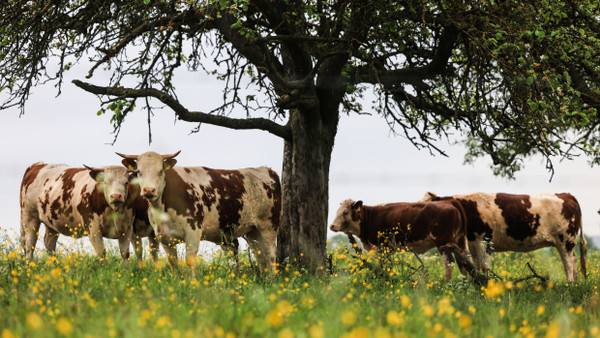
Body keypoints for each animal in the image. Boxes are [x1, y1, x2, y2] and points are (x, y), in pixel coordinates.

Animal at [20, 162, 158, 262]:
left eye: (126, 182)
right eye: (106, 182)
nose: (116, 196)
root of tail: (38, 165)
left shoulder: (127, 229)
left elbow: (125, 253)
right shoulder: (93, 227)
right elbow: (101, 252)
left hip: (51, 222)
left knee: (49, 244)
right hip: (29, 216)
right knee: (29, 244)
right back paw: (30, 267)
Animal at [116, 151, 282, 274]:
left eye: (160, 170)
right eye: (139, 171)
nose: (149, 190)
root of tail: (266, 170)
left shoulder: (193, 231)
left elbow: (189, 261)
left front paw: (192, 285)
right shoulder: (164, 237)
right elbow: (173, 263)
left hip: (268, 225)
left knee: (271, 254)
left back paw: (272, 281)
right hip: (252, 231)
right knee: (260, 255)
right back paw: (263, 280)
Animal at [330, 198, 472, 282]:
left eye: (345, 212)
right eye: (337, 211)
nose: (332, 226)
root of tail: (449, 202)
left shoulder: (381, 247)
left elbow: (383, 266)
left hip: (443, 242)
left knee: (449, 263)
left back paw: (446, 284)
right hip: (458, 240)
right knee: (463, 261)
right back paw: (464, 285)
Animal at [422, 191, 584, 282]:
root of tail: (565, 194)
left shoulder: (484, 241)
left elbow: (485, 266)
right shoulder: (474, 245)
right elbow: (477, 266)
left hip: (565, 241)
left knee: (568, 263)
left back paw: (569, 284)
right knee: (574, 262)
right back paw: (575, 284)